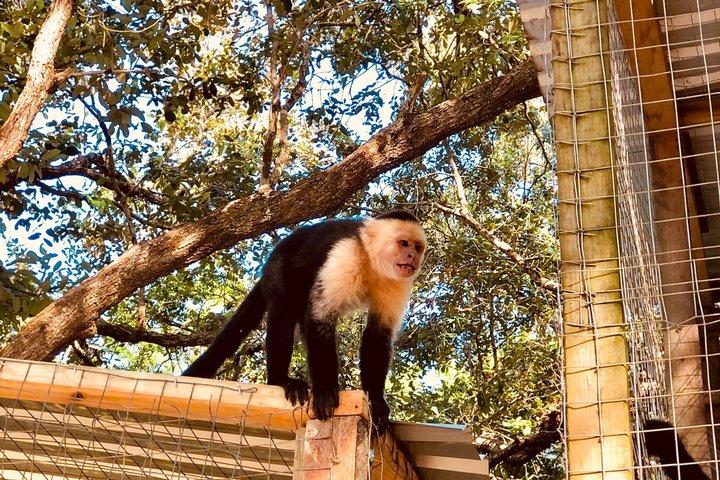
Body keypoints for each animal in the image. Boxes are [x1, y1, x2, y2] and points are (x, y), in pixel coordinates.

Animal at [182, 210, 426, 432]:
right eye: (403, 243)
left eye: (417, 247)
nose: (412, 257)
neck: (371, 261)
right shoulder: (345, 254)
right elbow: (320, 317)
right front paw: (325, 390)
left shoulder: (397, 281)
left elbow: (378, 333)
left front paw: (375, 401)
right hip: (279, 268)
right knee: (283, 313)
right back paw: (280, 380)